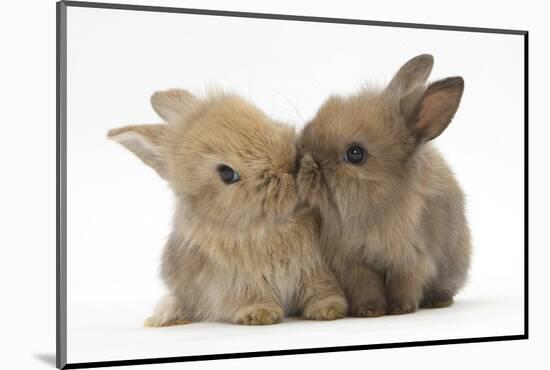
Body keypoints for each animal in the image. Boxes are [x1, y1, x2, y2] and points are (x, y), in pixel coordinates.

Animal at [108, 88, 350, 326]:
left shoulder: (315, 269)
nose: (290, 165)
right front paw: (259, 314)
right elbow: (250, 297)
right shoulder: (236, 282)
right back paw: (165, 317)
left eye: (264, 117)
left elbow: (319, 290)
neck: (273, 225)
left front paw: (328, 309)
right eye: (226, 173)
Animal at [298, 53, 474, 316]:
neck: (375, 205)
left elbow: (404, 285)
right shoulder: (353, 262)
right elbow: (366, 287)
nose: (304, 160)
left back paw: (438, 302)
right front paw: (369, 311)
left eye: (355, 153)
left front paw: (401, 309)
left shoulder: (410, 259)